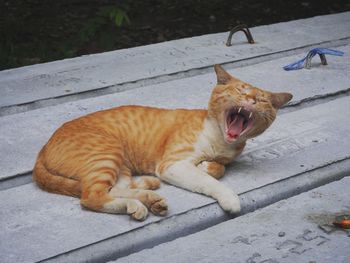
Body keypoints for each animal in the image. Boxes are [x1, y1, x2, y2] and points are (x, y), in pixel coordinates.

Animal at [32, 65, 292, 222]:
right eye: (240, 90)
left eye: (261, 100)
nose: (250, 99)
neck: (220, 140)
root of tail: (42, 148)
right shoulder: (173, 164)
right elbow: (209, 181)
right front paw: (228, 196)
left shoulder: (220, 158)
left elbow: (218, 168)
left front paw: (208, 166)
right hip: (106, 154)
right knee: (91, 196)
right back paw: (138, 202)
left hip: (118, 164)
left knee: (111, 189)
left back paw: (147, 198)